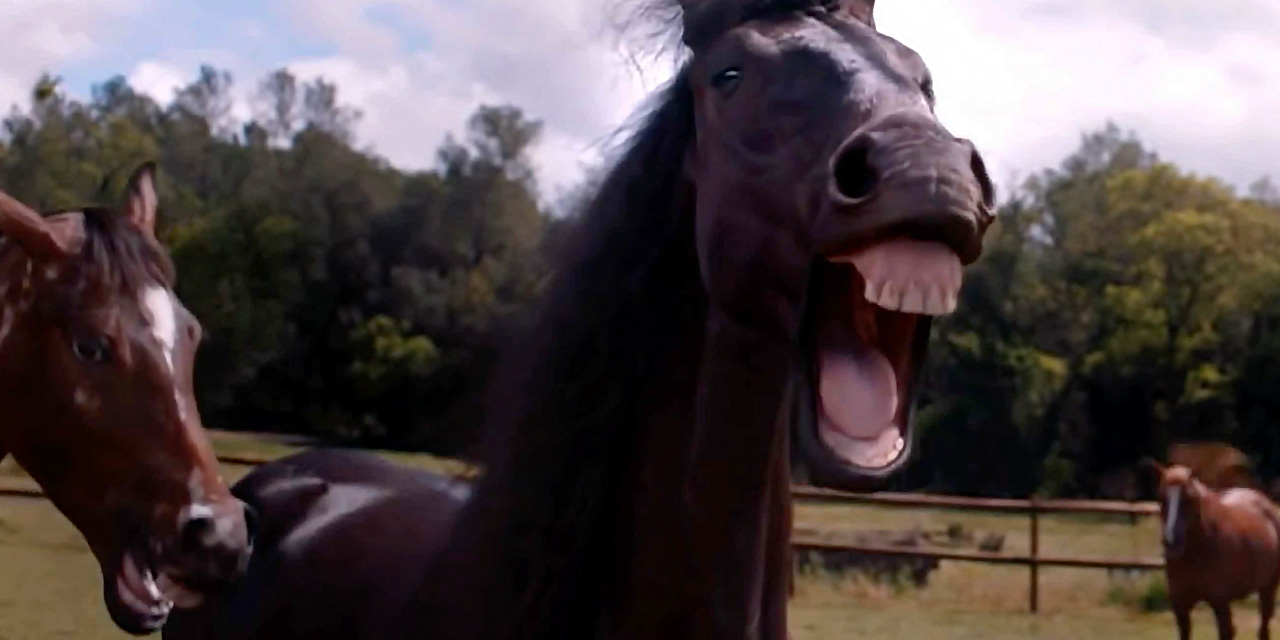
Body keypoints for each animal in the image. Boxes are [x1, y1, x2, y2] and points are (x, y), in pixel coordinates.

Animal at [1150, 462, 1280, 640]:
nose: (1171, 543)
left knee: (1264, 627)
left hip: (1269, 587)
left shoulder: (1220, 602)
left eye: (1188, 499)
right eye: (1161, 498)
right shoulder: (1180, 606)